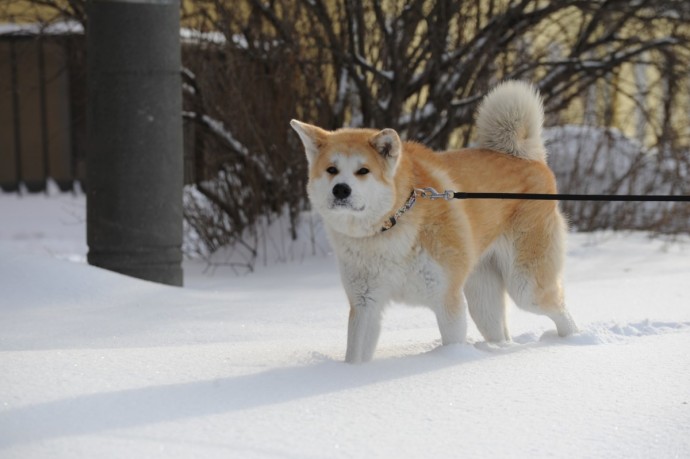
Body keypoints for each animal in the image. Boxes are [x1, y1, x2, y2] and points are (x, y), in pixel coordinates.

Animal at [288, 81, 576, 364]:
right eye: (331, 170)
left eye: (363, 171)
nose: (340, 190)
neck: (391, 228)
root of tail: (526, 157)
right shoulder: (365, 303)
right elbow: (356, 357)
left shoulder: (447, 300)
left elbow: (452, 343)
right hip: (483, 299)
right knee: (501, 332)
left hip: (525, 287)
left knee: (563, 312)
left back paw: (572, 342)